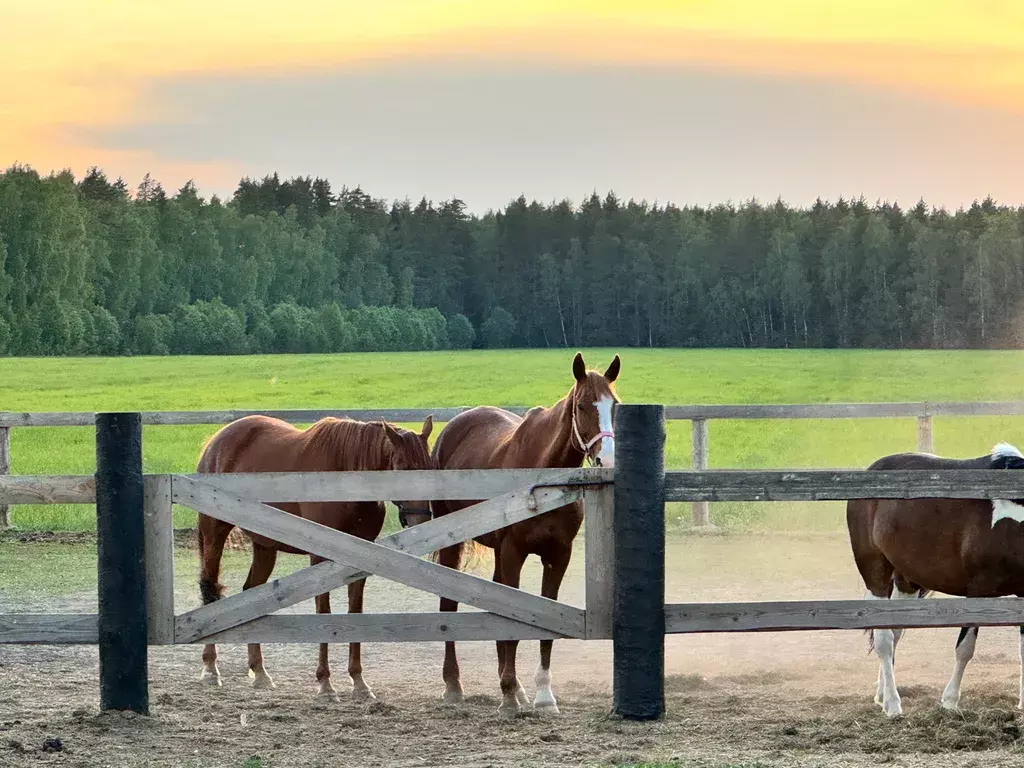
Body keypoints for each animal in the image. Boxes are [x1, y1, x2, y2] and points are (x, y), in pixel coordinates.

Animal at [193, 415, 434, 704]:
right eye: (404, 468)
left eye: (431, 467)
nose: (421, 521)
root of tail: (218, 439)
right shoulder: (319, 558)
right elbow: (323, 612)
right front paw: (325, 684)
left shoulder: (360, 560)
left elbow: (355, 611)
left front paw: (358, 682)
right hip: (214, 533)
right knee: (209, 590)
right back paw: (210, 668)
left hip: (264, 546)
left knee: (250, 592)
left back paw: (260, 672)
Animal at [428, 352, 618, 720]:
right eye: (582, 406)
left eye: (614, 404)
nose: (608, 458)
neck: (542, 476)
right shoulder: (514, 552)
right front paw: (508, 696)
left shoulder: (558, 555)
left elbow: (544, 625)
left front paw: (542, 695)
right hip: (453, 543)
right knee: (449, 604)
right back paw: (454, 685)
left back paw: (515, 687)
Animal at [847, 442, 1024, 720]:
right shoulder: (977, 592)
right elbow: (965, 648)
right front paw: (949, 701)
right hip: (875, 573)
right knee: (884, 640)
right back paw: (893, 705)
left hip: (906, 580)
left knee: (894, 633)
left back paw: (882, 694)